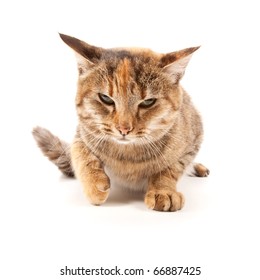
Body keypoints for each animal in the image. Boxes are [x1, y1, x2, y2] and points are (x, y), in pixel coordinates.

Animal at [33, 33, 209, 212]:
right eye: (105, 98)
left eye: (148, 102)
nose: (124, 129)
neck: (128, 157)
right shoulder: (82, 133)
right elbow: (81, 155)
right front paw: (94, 185)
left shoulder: (194, 140)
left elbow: (171, 168)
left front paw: (163, 190)